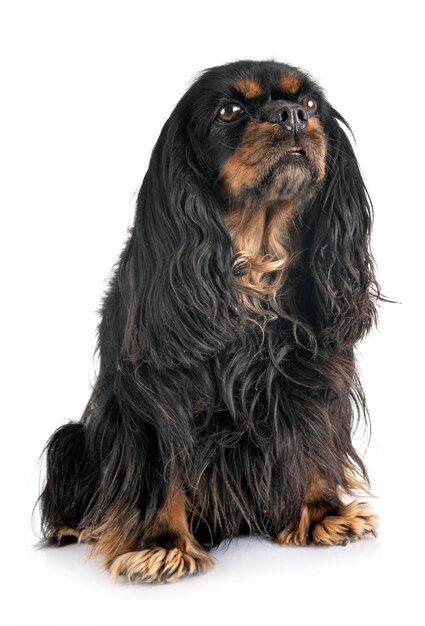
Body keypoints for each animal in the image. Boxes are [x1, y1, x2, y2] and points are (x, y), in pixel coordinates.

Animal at [39, 58, 380, 580]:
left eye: (309, 103)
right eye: (229, 111)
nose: (292, 116)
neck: (254, 263)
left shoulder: (311, 372)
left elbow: (312, 438)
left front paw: (325, 513)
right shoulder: (155, 392)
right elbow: (161, 467)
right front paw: (161, 543)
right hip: (72, 441)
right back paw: (73, 529)